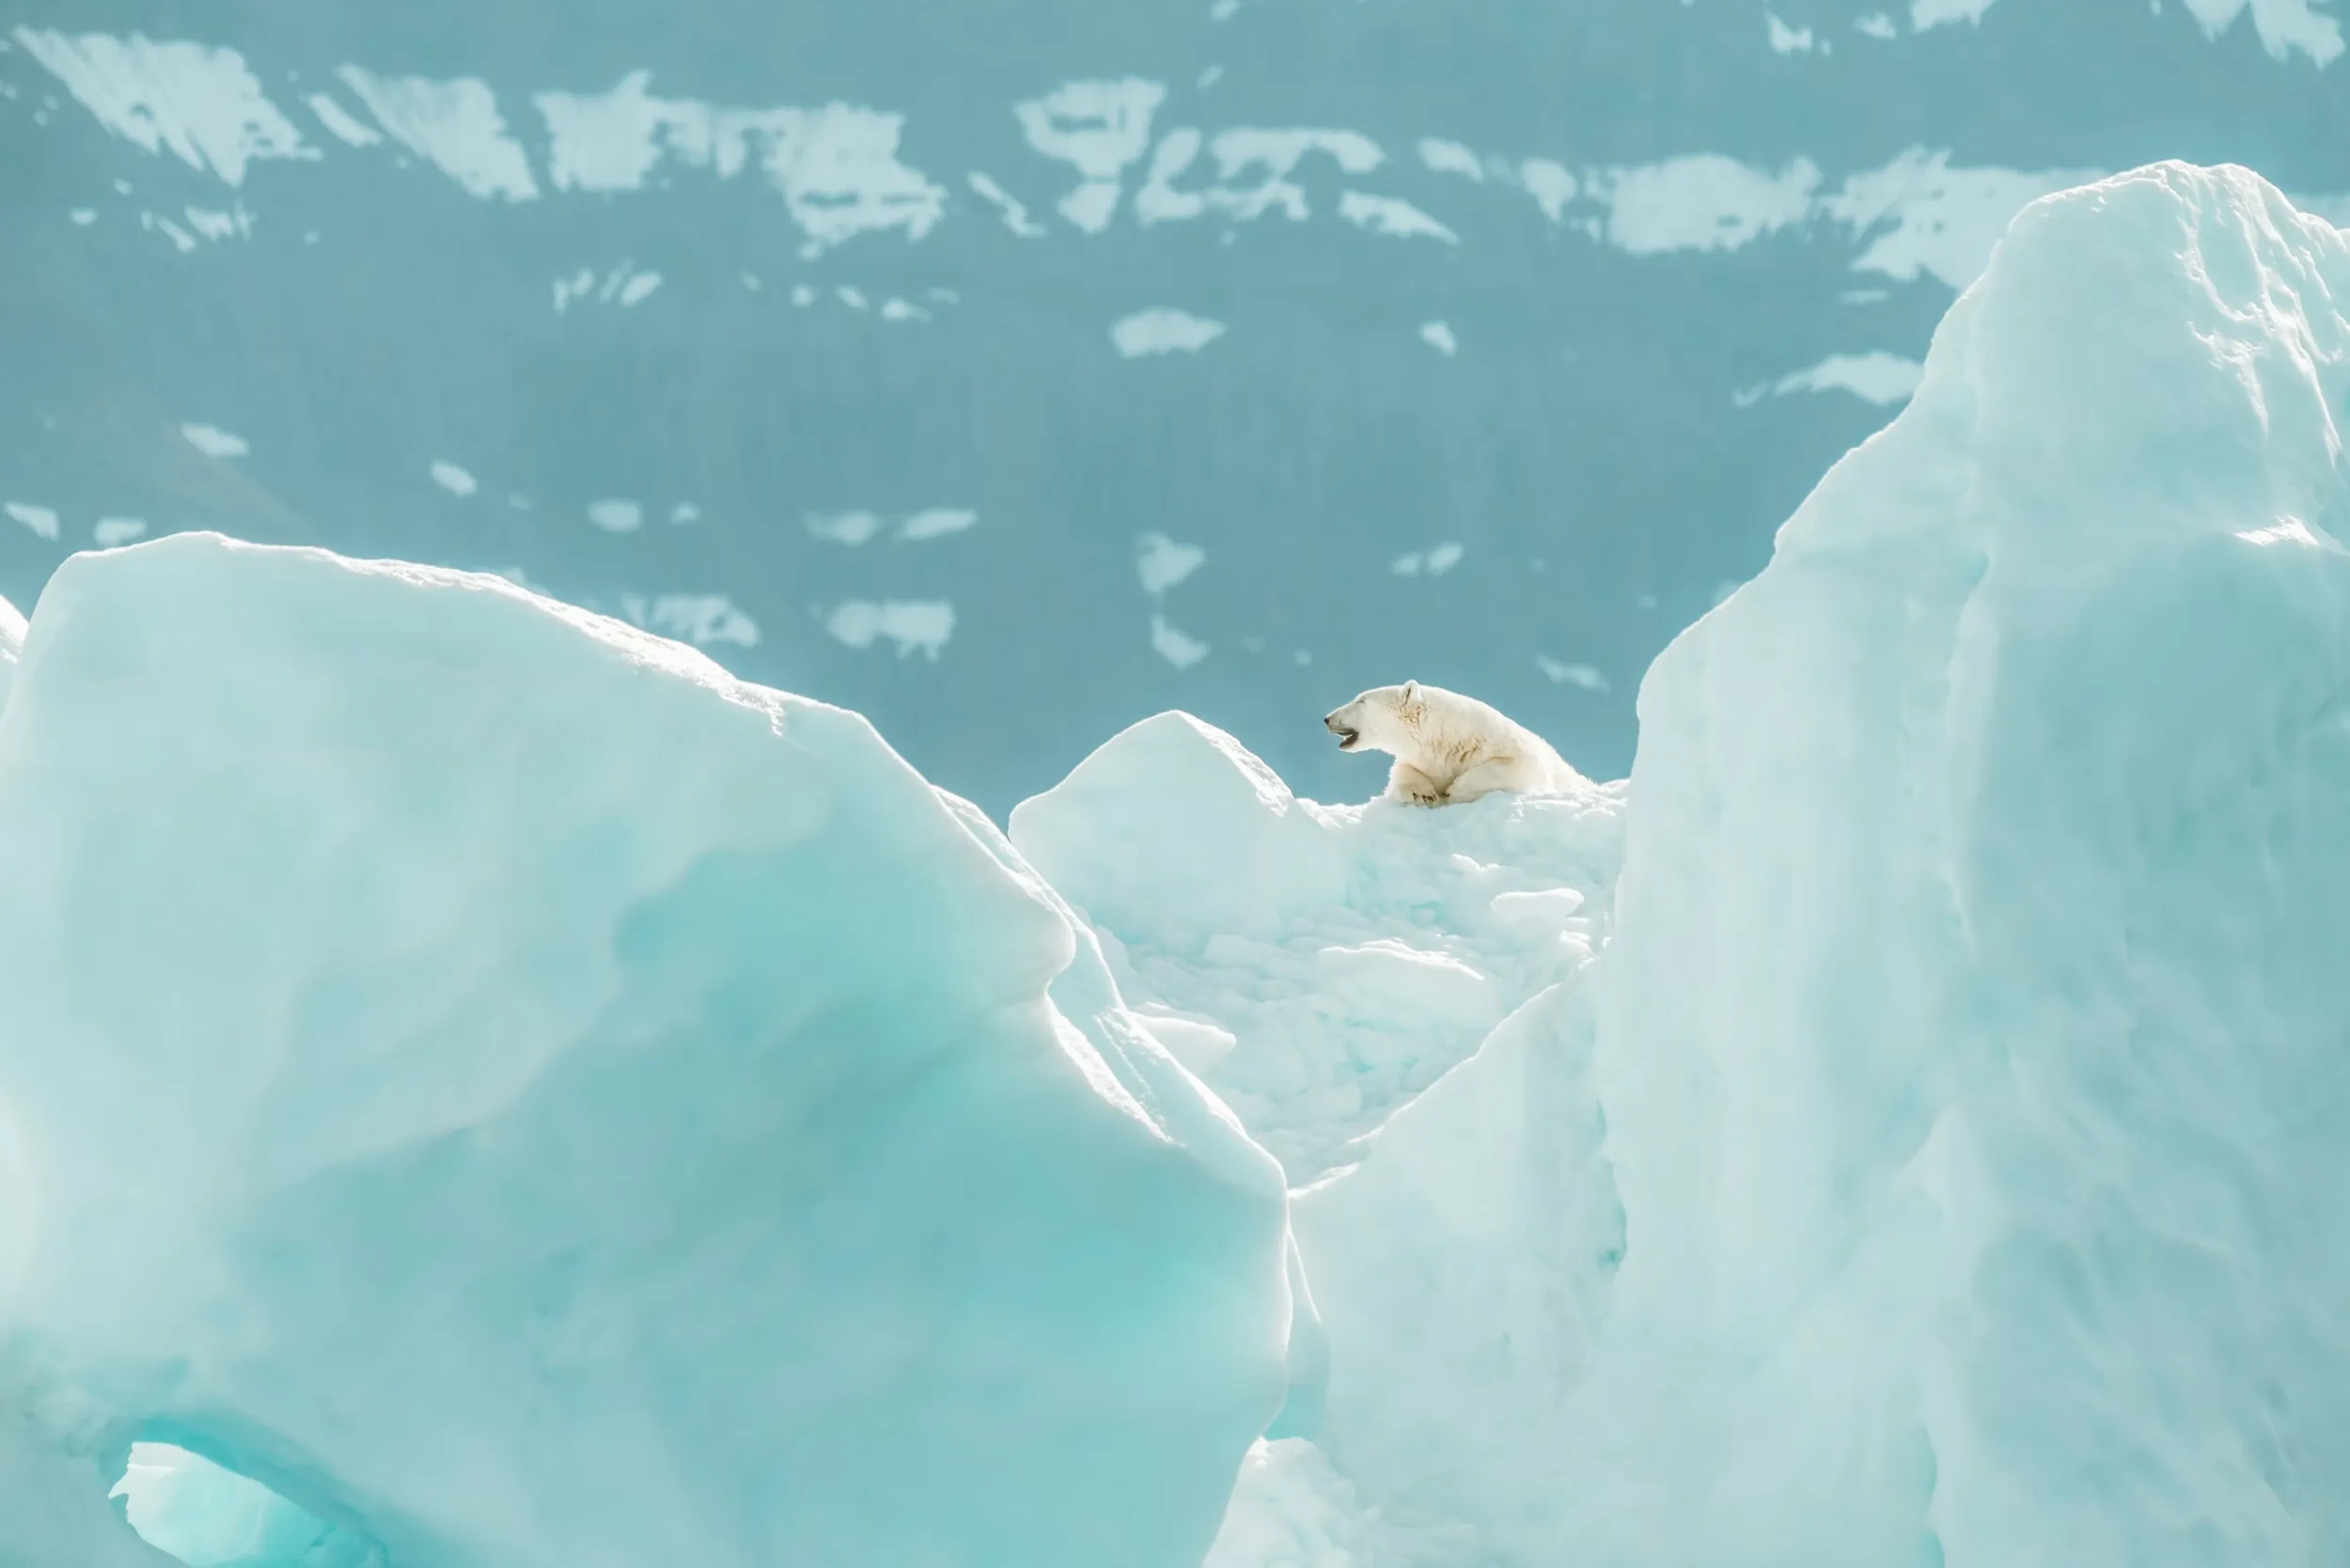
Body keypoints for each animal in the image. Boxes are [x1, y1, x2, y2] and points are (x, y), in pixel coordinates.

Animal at [1322, 680, 1584, 806]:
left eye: (1361, 700)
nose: (1327, 718)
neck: (1444, 738)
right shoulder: (1427, 760)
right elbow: (1401, 772)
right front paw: (1424, 793)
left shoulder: (1504, 745)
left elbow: (1519, 765)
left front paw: (1455, 789)